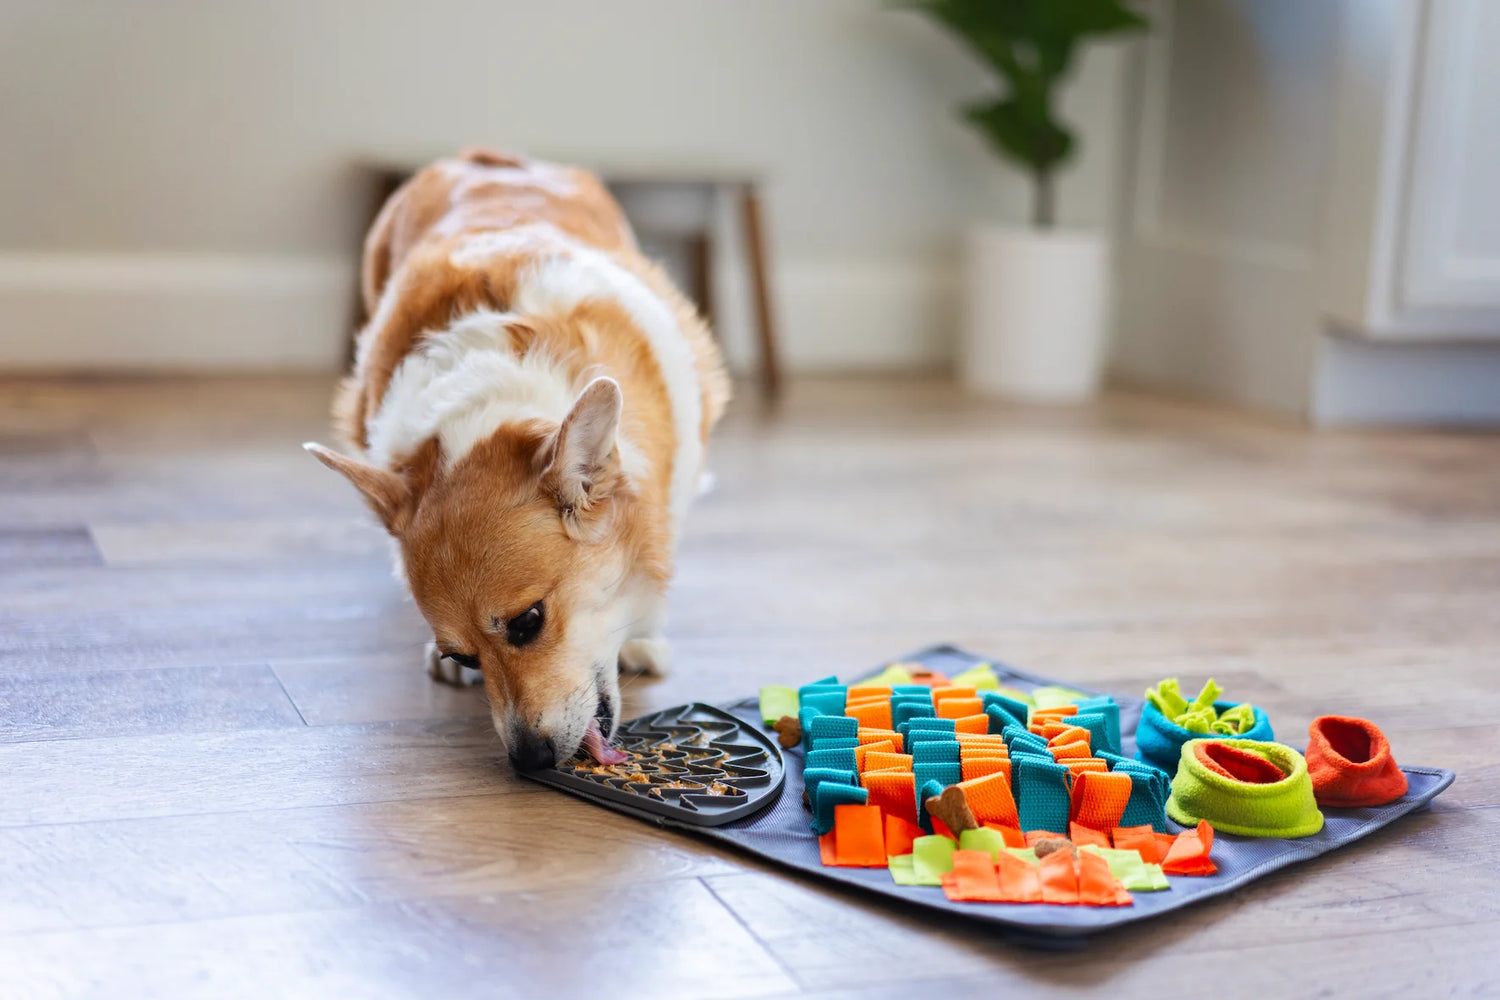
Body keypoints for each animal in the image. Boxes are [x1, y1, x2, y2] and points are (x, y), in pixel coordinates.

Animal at [304, 150, 726, 773]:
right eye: (463, 656)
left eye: (529, 622)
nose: (528, 760)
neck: (493, 406)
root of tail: (484, 157)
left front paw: (640, 638)